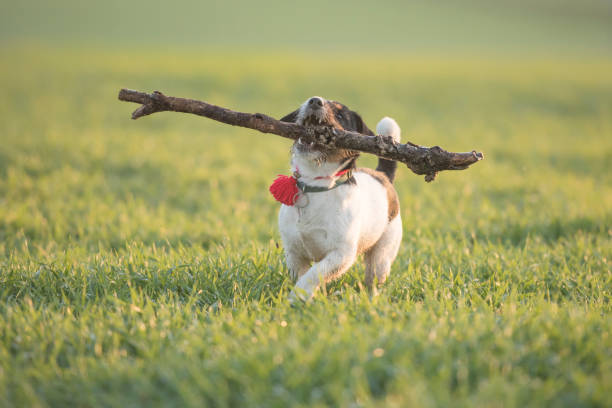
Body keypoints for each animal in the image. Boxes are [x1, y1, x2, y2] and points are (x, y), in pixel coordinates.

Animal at [274, 95, 402, 300]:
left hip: (382, 255)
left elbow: (314, 274)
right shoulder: (293, 253)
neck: (316, 185)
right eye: (309, 100)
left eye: (341, 115)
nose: (315, 101)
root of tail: (382, 176)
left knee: (374, 278)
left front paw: (297, 296)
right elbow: (302, 274)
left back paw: (372, 298)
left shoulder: (341, 255)